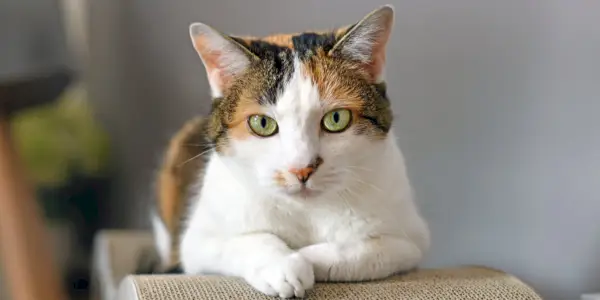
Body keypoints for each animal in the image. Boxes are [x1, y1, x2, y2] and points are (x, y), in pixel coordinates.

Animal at [152, 4, 428, 298]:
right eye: (262, 123)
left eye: (336, 119)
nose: (301, 169)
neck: (305, 212)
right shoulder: (197, 243)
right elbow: (249, 239)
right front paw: (283, 265)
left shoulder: (411, 241)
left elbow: (360, 249)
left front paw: (304, 259)